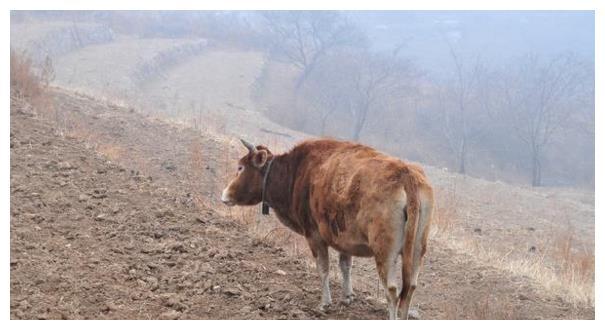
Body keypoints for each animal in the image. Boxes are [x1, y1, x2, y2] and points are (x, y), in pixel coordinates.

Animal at [219, 138, 432, 318]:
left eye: (240, 167)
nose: (224, 195)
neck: (297, 172)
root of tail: (406, 175)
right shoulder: (345, 238)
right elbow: (345, 265)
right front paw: (347, 296)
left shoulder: (314, 236)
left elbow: (323, 268)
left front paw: (325, 303)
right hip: (417, 250)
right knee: (410, 288)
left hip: (385, 252)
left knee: (392, 291)